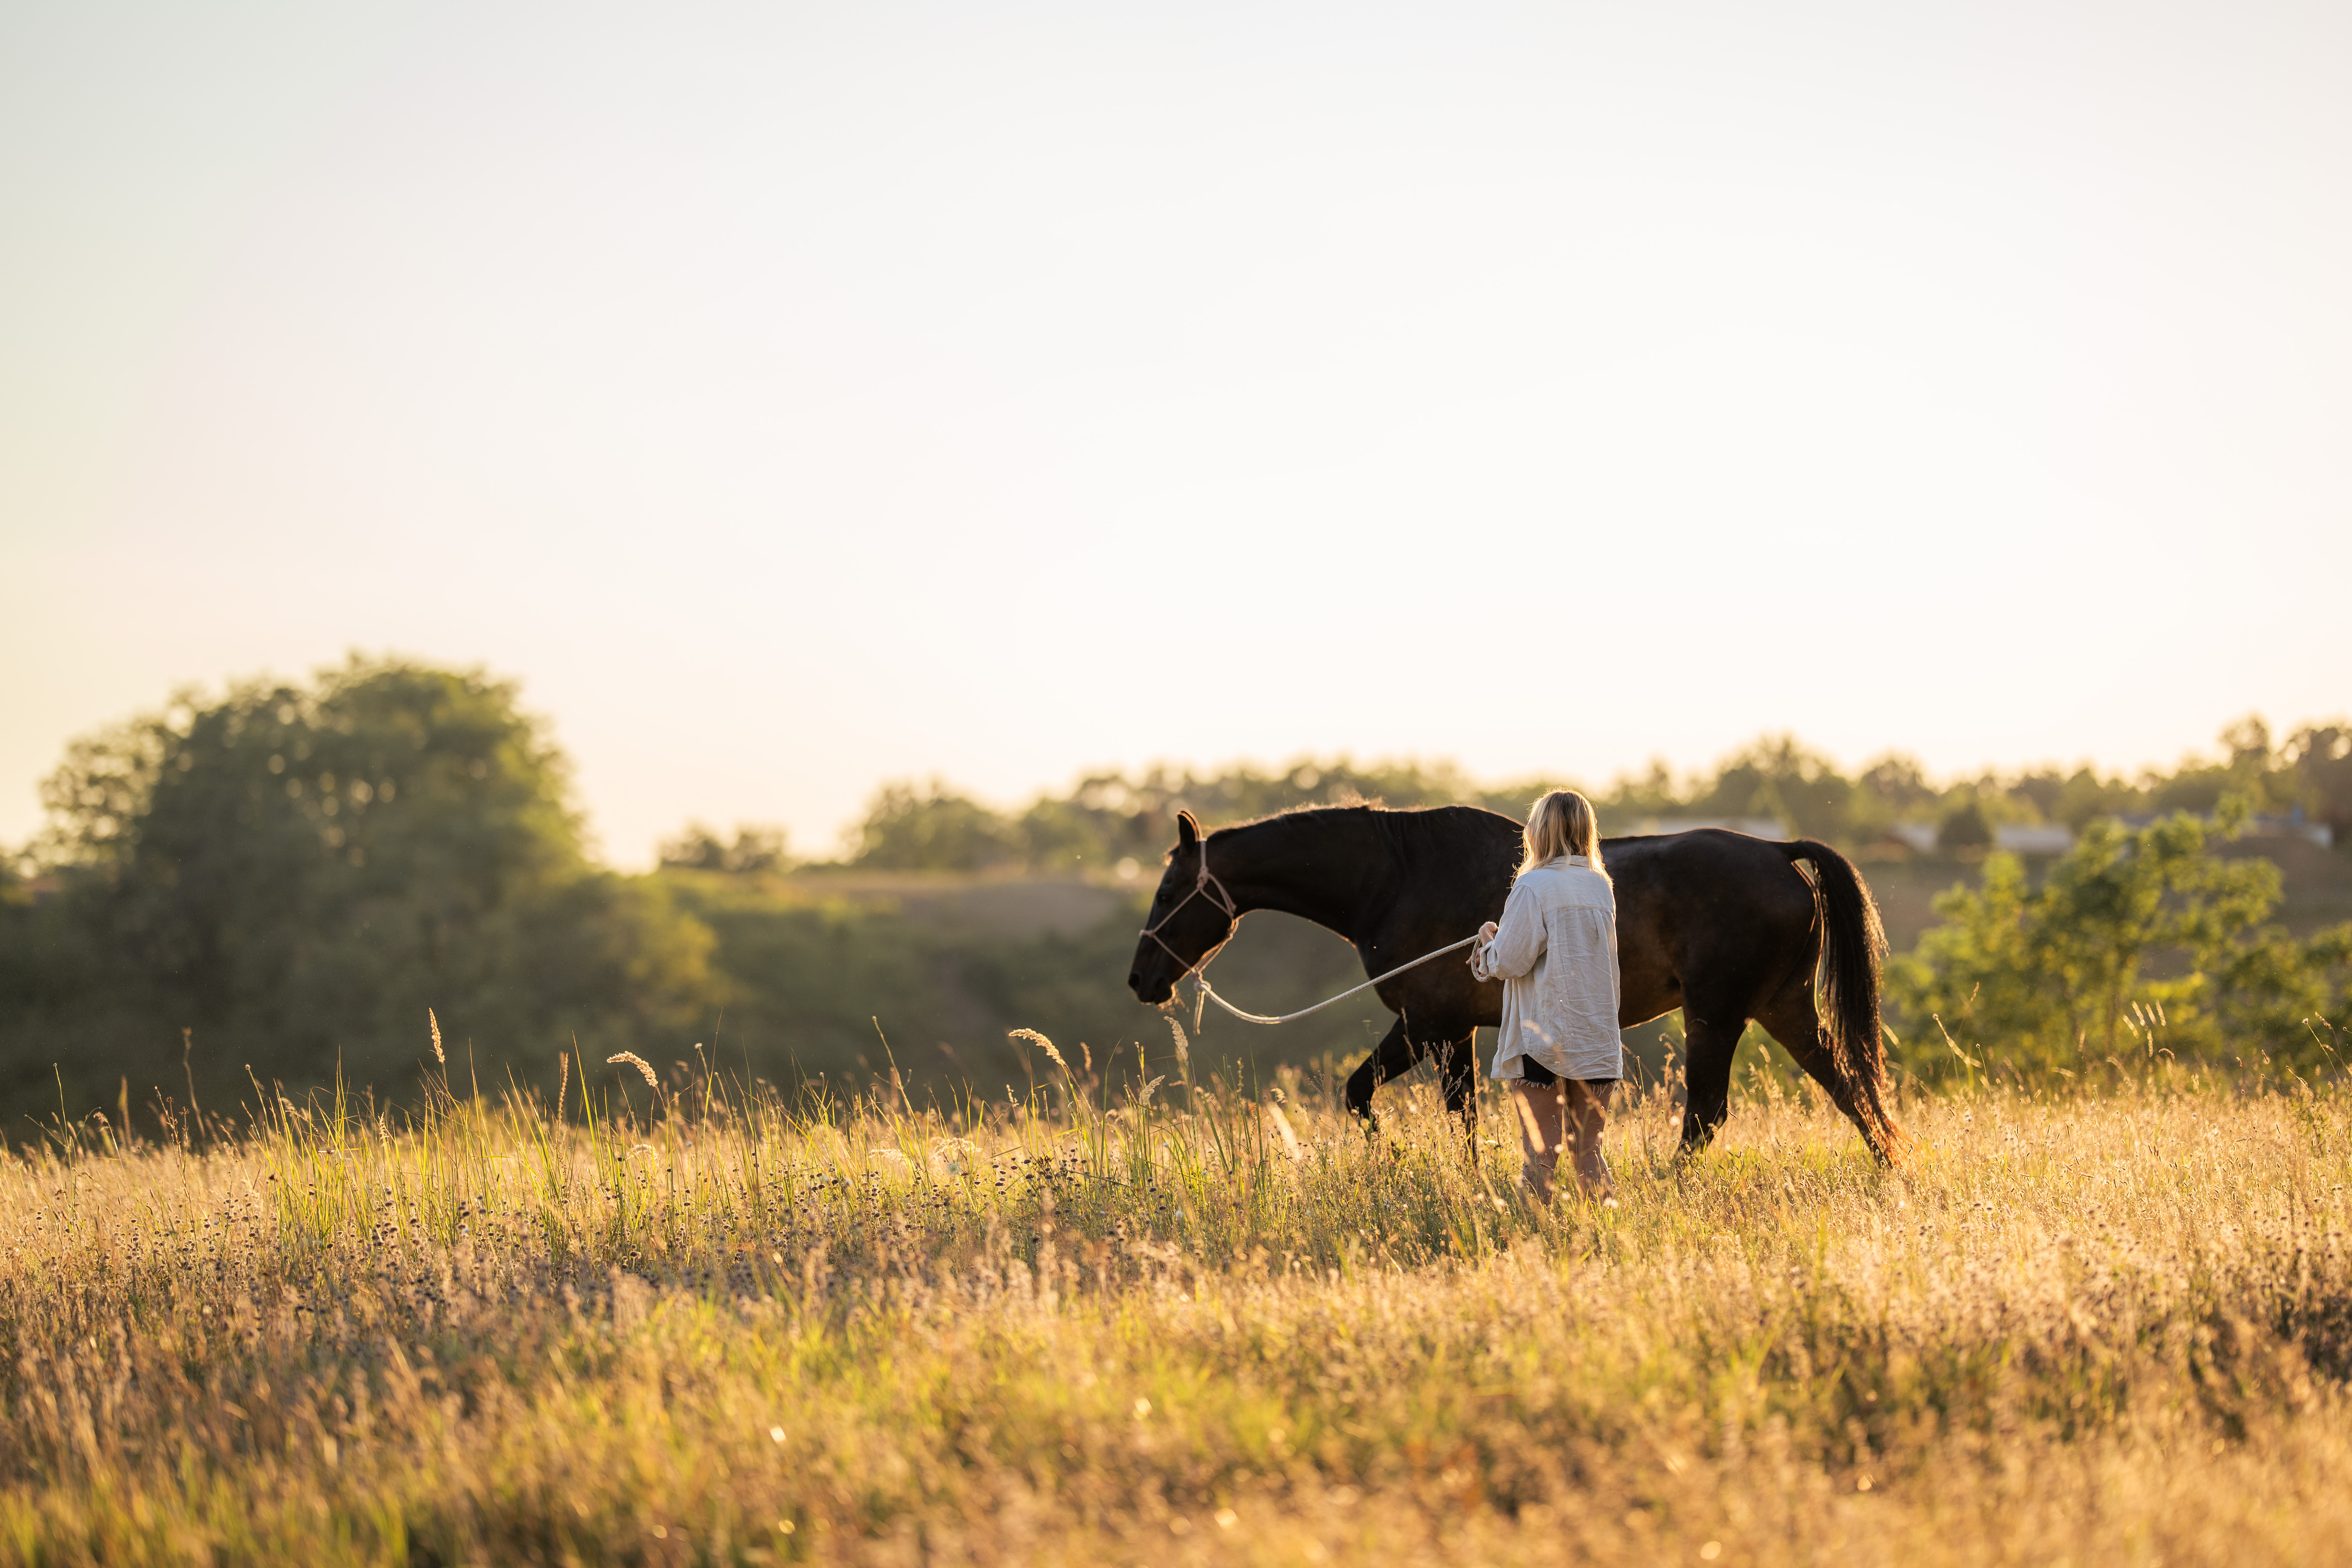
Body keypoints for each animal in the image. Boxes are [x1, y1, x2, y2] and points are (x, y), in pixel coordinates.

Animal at [1125, 804, 1904, 1162]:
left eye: (1167, 892)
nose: (1141, 979)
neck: (1395, 879)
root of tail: (1779, 852)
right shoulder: (1451, 1032)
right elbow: (1437, 1111)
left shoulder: (1429, 1025)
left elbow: (1382, 1100)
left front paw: (1401, 1162)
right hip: (1778, 1007)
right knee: (1850, 1087)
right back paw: (1890, 1172)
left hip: (1717, 1015)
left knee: (1707, 1116)